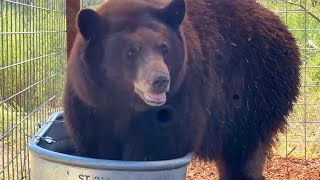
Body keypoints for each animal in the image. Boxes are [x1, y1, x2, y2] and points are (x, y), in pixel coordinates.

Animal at [63, 0, 302, 179]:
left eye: (164, 48)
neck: (126, 106)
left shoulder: (182, 96)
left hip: (256, 95)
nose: (160, 80)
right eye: (131, 51)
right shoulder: (89, 103)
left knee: (244, 152)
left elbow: (157, 146)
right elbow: (96, 145)